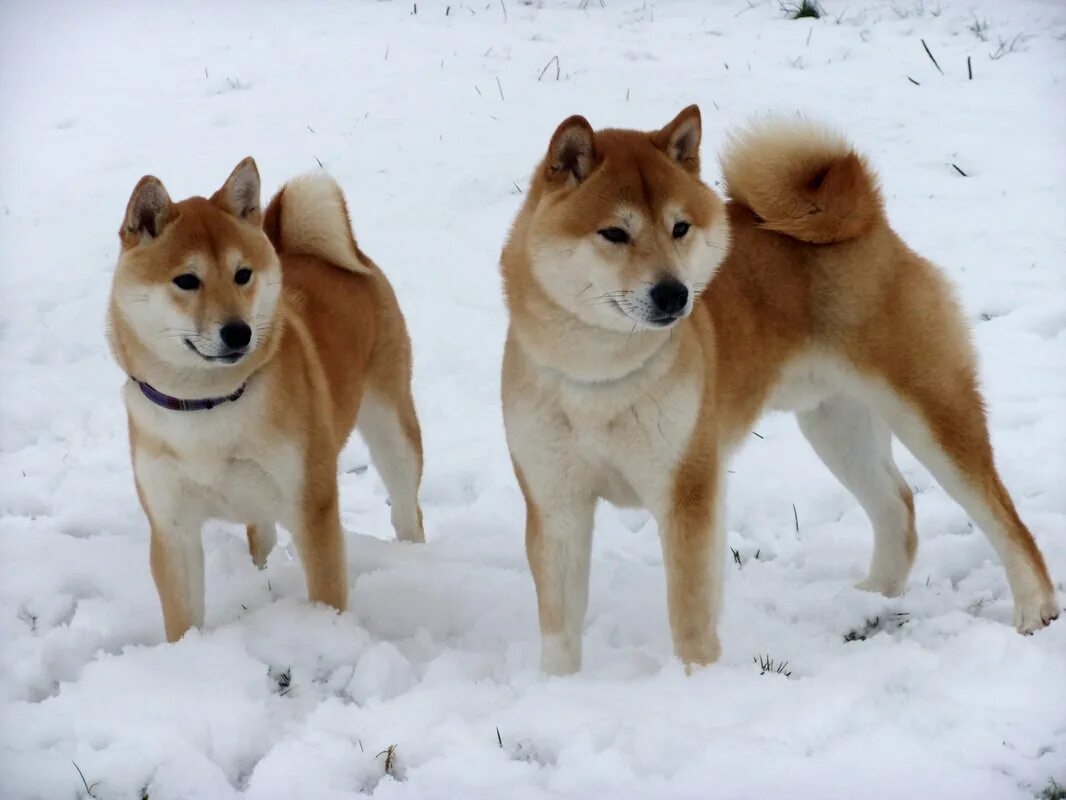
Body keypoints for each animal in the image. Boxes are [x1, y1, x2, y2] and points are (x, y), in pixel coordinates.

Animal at [108, 160, 422, 644]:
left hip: (392, 429)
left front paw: (328, 636)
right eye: (186, 280)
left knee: (408, 506)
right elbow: (182, 618)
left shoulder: (312, 508)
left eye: (243, 274)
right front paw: (185, 654)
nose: (238, 332)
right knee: (262, 536)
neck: (209, 403)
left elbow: (327, 595)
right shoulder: (171, 526)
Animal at [501, 103, 1057, 674]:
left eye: (680, 228)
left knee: (1000, 514)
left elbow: (689, 611)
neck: (599, 375)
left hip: (929, 410)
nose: (674, 293)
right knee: (897, 503)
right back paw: (874, 594)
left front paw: (695, 680)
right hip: (837, 426)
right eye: (614, 233)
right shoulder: (555, 503)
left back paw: (1033, 608)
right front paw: (560, 684)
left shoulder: (687, 492)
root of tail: (868, 220)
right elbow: (560, 626)